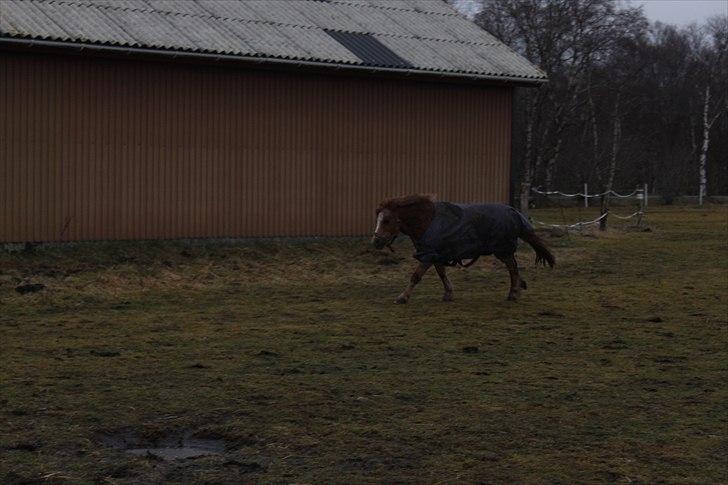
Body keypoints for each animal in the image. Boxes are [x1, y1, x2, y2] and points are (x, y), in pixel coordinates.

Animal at [372, 194, 556, 302]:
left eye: (386, 220)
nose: (375, 242)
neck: (426, 221)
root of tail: (514, 212)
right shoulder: (435, 254)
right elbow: (442, 273)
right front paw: (448, 294)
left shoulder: (428, 255)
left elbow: (416, 276)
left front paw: (402, 297)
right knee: (514, 267)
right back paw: (518, 287)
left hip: (502, 250)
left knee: (512, 267)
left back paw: (513, 293)